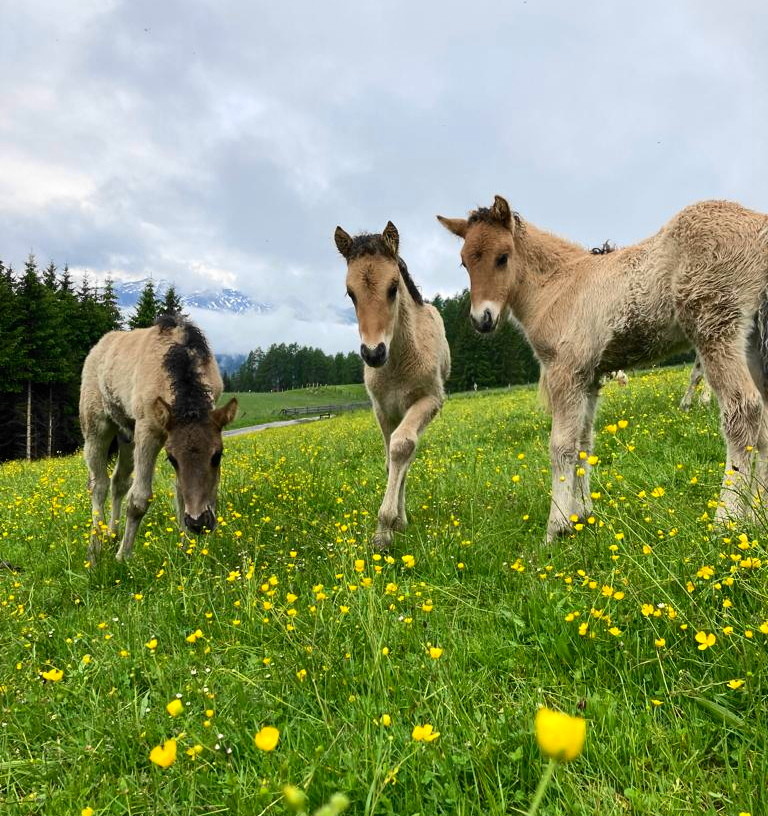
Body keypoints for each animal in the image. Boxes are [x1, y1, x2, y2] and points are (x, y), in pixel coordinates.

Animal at [80, 318, 237, 560]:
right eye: (172, 459)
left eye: (217, 455)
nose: (198, 522)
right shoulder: (148, 429)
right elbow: (139, 499)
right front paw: (123, 557)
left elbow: (181, 492)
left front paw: (186, 549)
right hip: (96, 425)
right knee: (98, 484)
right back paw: (95, 550)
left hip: (127, 436)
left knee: (118, 481)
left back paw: (112, 535)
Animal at [334, 222, 450, 548]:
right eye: (350, 293)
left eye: (393, 287)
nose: (374, 353)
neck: (398, 363)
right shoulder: (382, 409)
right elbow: (390, 462)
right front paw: (391, 526)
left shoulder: (430, 400)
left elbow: (401, 448)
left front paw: (385, 528)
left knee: (407, 453)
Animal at [438, 197, 768, 540]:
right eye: (464, 263)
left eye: (503, 257)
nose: (482, 320)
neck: (557, 286)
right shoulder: (590, 377)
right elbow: (584, 443)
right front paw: (582, 514)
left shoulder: (565, 371)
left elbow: (561, 446)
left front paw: (557, 527)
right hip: (752, 341)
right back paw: (757, 518)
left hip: (714, 327)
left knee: (744, 411)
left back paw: (726, 521)